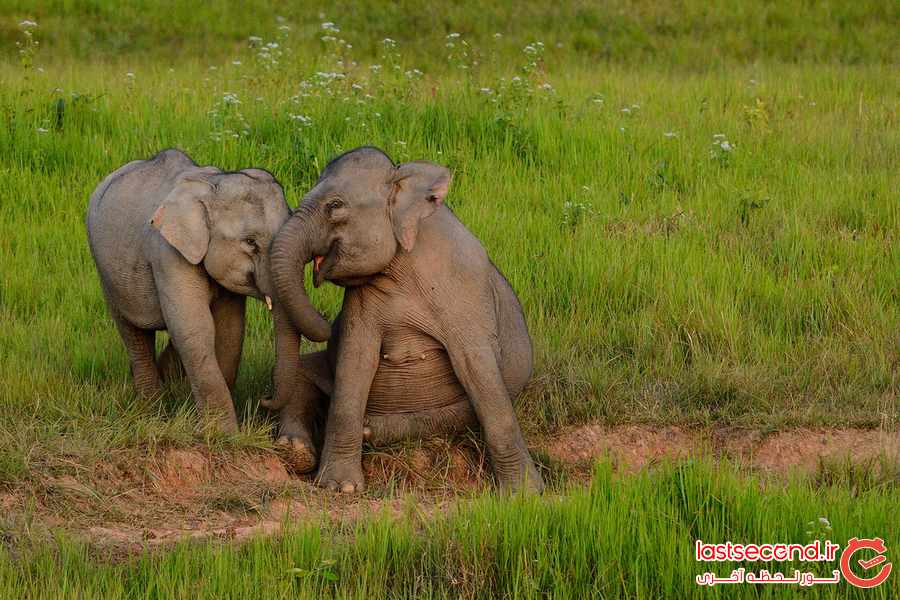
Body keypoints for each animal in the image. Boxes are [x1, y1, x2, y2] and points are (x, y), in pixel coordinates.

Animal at [86, 149, 332, 432]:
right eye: (250, 242)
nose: (264, 398)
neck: (213, 185)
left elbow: (229, 330)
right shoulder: (167, 253)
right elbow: (196, 328)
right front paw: (224, 434)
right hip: (106, 272)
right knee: (133, 331)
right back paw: (152, 407)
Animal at [260, 145, 540, 492]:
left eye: (335, 206)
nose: (327, 323)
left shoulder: (466, 288)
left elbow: (479, 369)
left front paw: (524, 493)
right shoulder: (361, 301)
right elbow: (354, 362)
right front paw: (340, 487)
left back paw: (371, 430)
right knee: (302, 373)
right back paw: (296, 450)